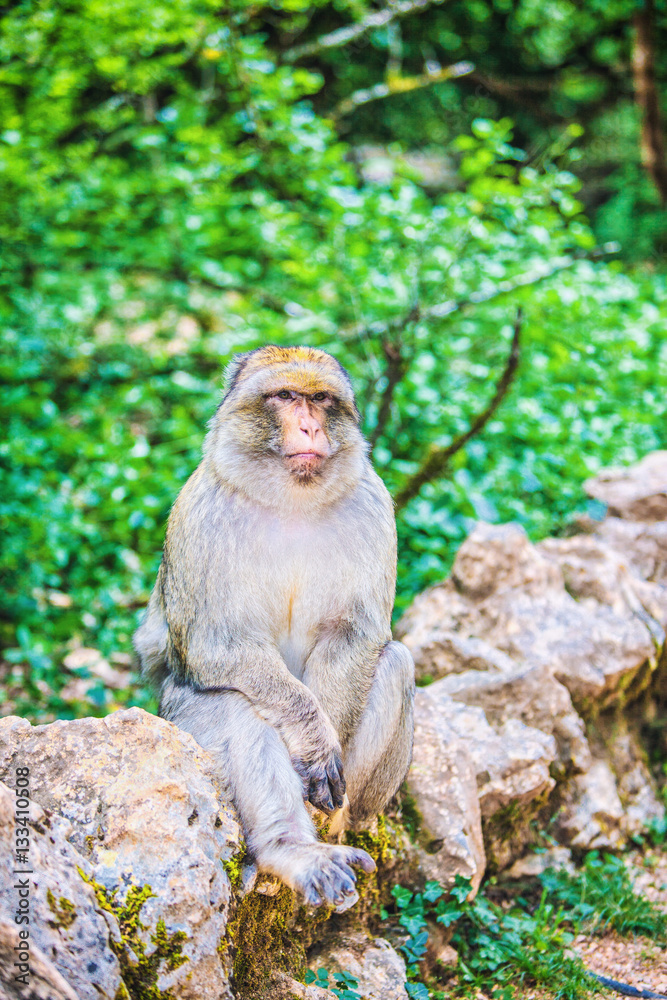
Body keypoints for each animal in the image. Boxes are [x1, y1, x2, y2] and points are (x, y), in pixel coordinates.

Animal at [134, 345, 415, 911]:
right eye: (285, 396)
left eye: (320, 399)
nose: (309, 427)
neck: (292, 500)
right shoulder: (202, 512)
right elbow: (217, 647)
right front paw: (313, 737)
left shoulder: (373, 504)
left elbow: (355, 635)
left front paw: (324, 743)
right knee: (233, 700)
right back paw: (294, 850)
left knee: (395, 662)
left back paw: (330, 830)